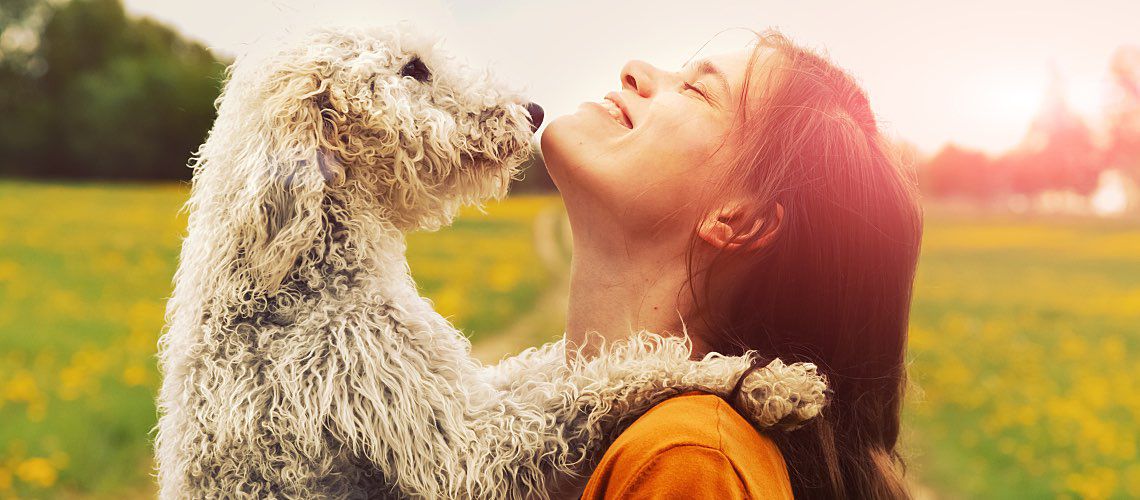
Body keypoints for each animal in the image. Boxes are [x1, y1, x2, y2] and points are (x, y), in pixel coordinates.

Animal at [153, 24, 829, 500]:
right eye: (413, 68)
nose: (532, 112)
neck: (296, 273)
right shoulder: (456, 442)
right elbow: (604, 381)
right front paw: (752, 379)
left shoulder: (460, 388)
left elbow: (571, 365)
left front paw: (760, 376)